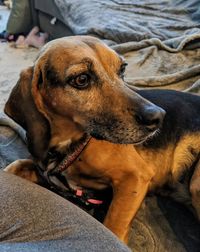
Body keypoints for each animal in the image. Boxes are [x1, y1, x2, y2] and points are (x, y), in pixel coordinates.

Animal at [3, 36, 200, 244]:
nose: (158, 117)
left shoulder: (135, 177)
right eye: (82, 79)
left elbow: (113, 228)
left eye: (122, 69)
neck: (71, 147)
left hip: (196, 184)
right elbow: (15, 166)